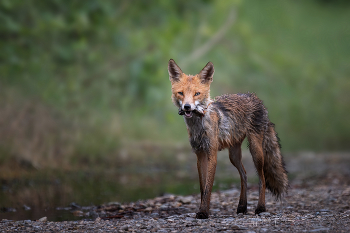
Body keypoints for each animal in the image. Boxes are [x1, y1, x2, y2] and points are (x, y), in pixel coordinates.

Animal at [168, 58, 288, 218]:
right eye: (180, 93)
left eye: (197, 93)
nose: (187, 107)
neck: (199, 125)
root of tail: (255, 98)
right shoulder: (199, 155)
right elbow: (202, 187)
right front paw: (202, 209)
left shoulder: (212, 154)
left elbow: (208, 188)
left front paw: (203, 212)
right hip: (234, 155)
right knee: (244, 175)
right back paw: (242, 206)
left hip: (256, 151)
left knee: (262, 178)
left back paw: (260, 208)